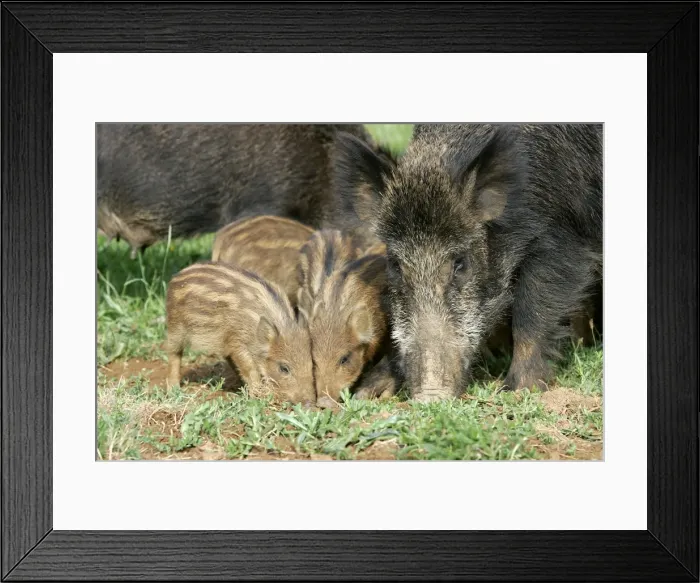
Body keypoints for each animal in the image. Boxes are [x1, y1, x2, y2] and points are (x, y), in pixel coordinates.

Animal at [165, 261, 315, 406]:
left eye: (312, 365)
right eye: (284, 368)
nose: (308, 403)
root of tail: (177, 276)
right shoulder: (237, 341)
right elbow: (249, 368)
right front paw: (259, 395)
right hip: (175, 327)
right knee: (173, 353)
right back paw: (173, 389)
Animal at [334, 123, 602, 401]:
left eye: (460, 263)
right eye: (396, 265)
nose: (430, 398)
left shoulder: (564, 237)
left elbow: (531, 313)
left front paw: (518, 390)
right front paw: (366, 393)